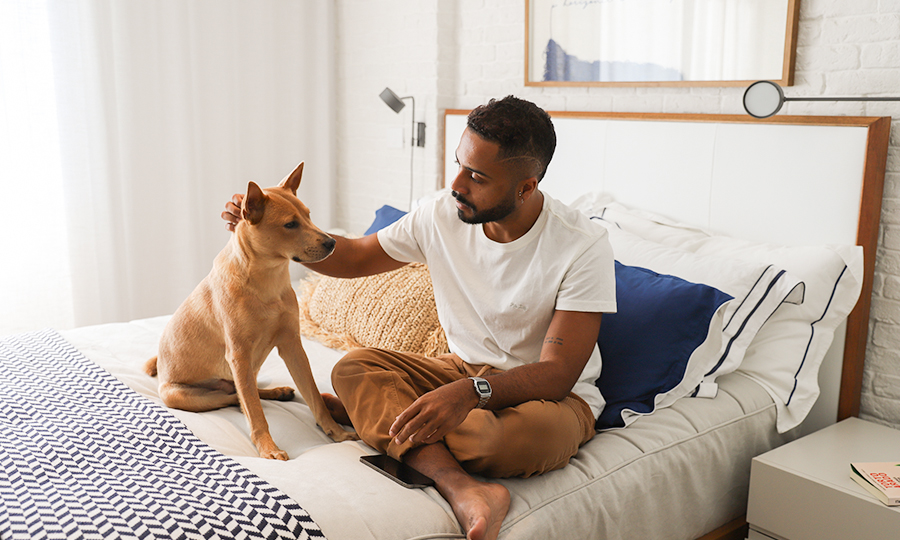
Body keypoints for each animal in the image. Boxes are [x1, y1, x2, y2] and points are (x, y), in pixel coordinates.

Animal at [146, 161, 356, 460]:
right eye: (290, 224)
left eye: (308, 215)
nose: (332, 243)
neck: (267, 279)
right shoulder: (239, 355)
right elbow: (254, 411)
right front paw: (268, 447)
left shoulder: (293, 346)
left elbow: (314, 396)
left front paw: (335, 433)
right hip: (184, 395)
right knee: (237, 397)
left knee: (244, 392)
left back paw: (277, 392)